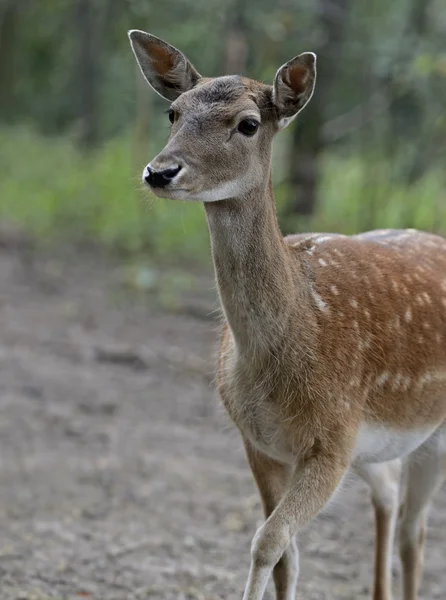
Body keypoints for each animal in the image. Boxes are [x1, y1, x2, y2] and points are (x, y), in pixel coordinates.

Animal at [127, 30, 446, 600]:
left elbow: (267, 540)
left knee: (417, 530)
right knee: (390, 496)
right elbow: (284, 554)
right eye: (172, 112)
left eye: (248, 123)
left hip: (428, 435)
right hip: (376, 448)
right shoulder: (259, 442)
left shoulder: (334, 439)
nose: (160, 171)